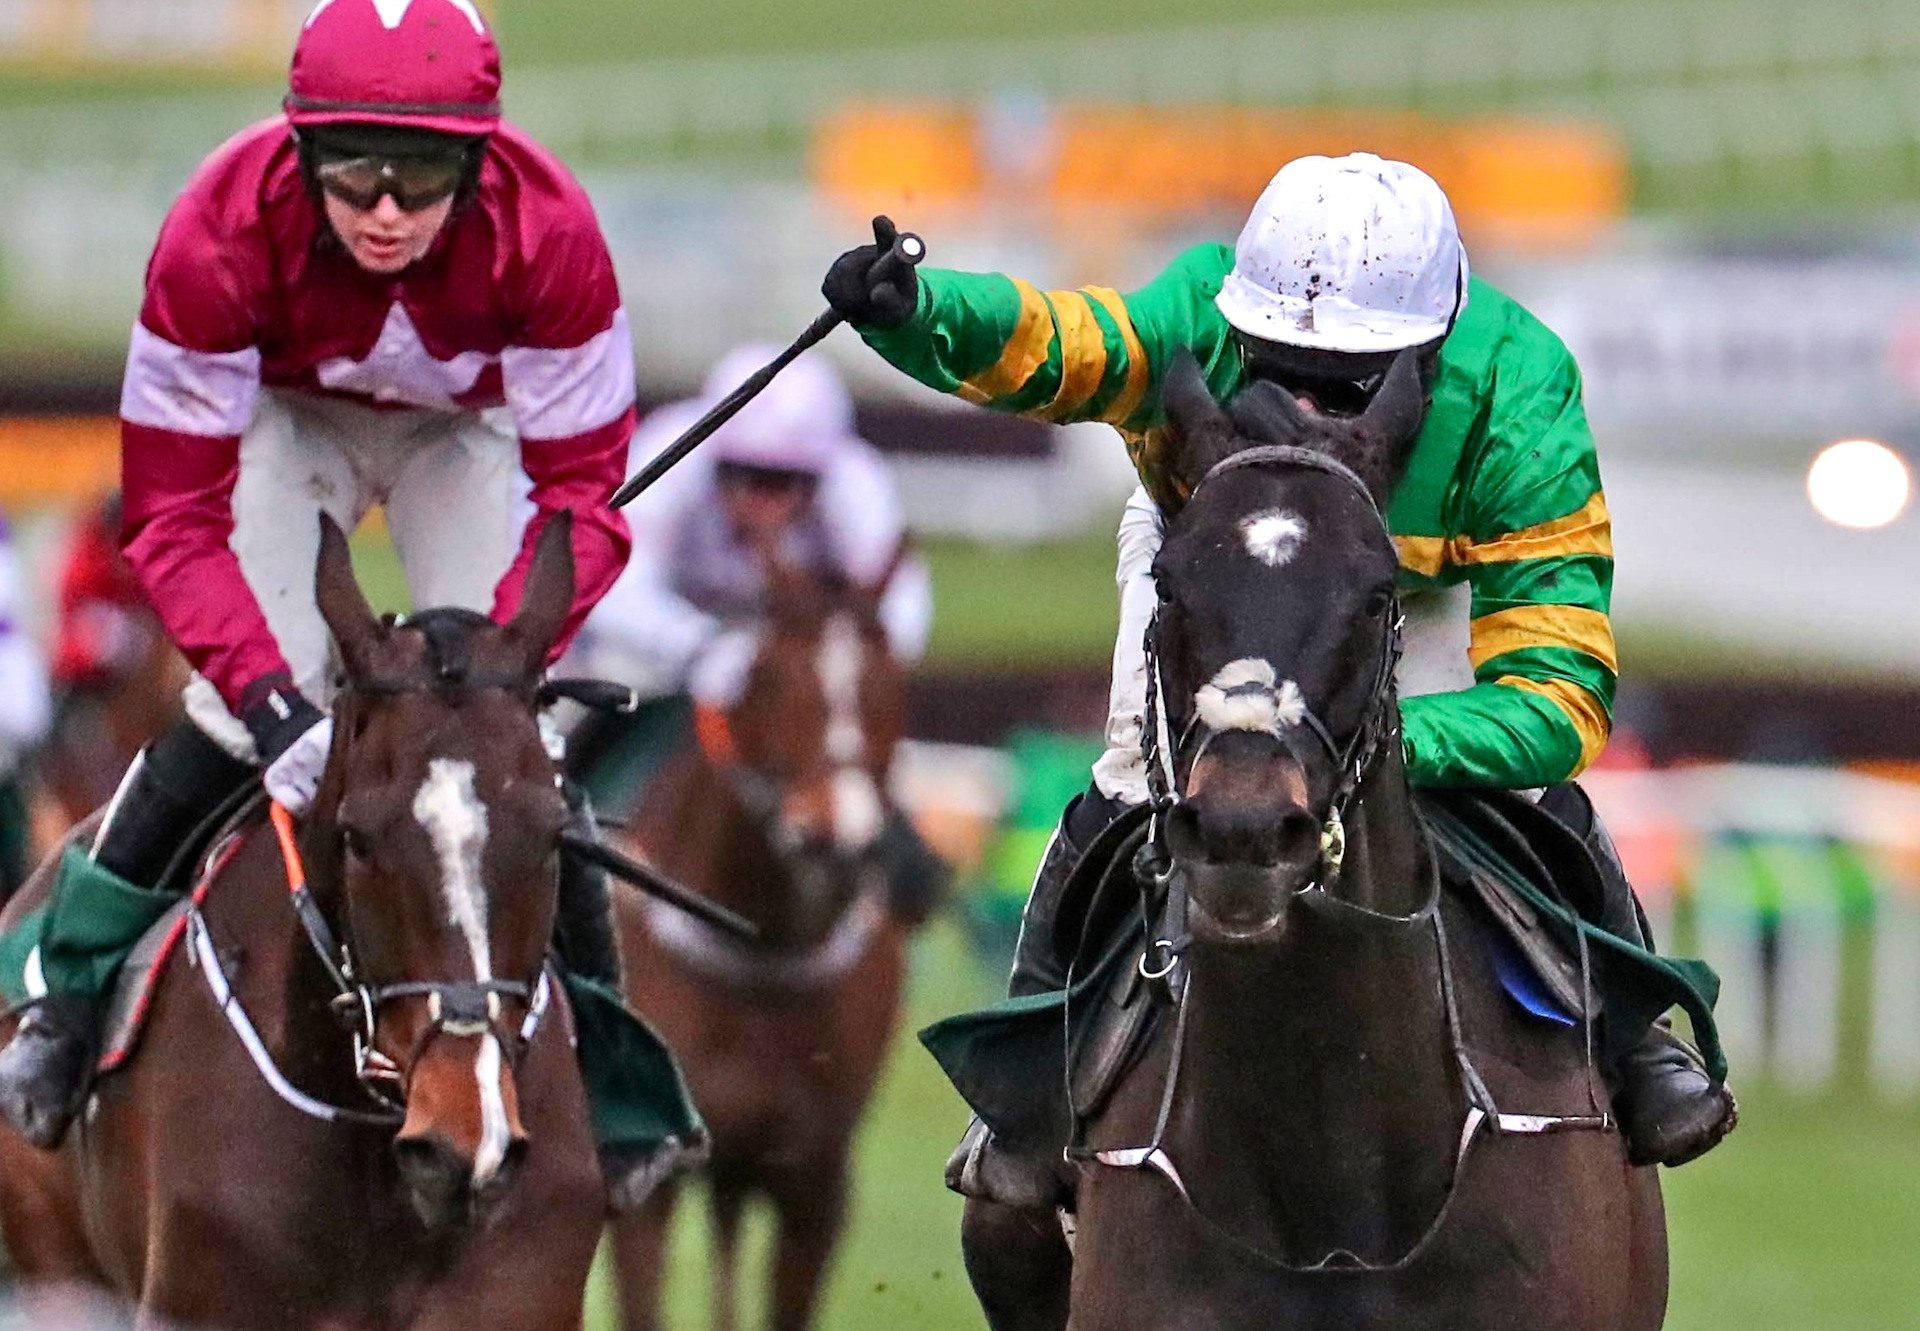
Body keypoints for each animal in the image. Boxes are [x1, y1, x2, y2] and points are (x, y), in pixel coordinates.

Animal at [610, 564, 917, 1329]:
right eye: (769, 676)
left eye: (889, 680)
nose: (836, 841)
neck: (764, 946)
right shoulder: (648, 1178)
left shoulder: (812, 1179)